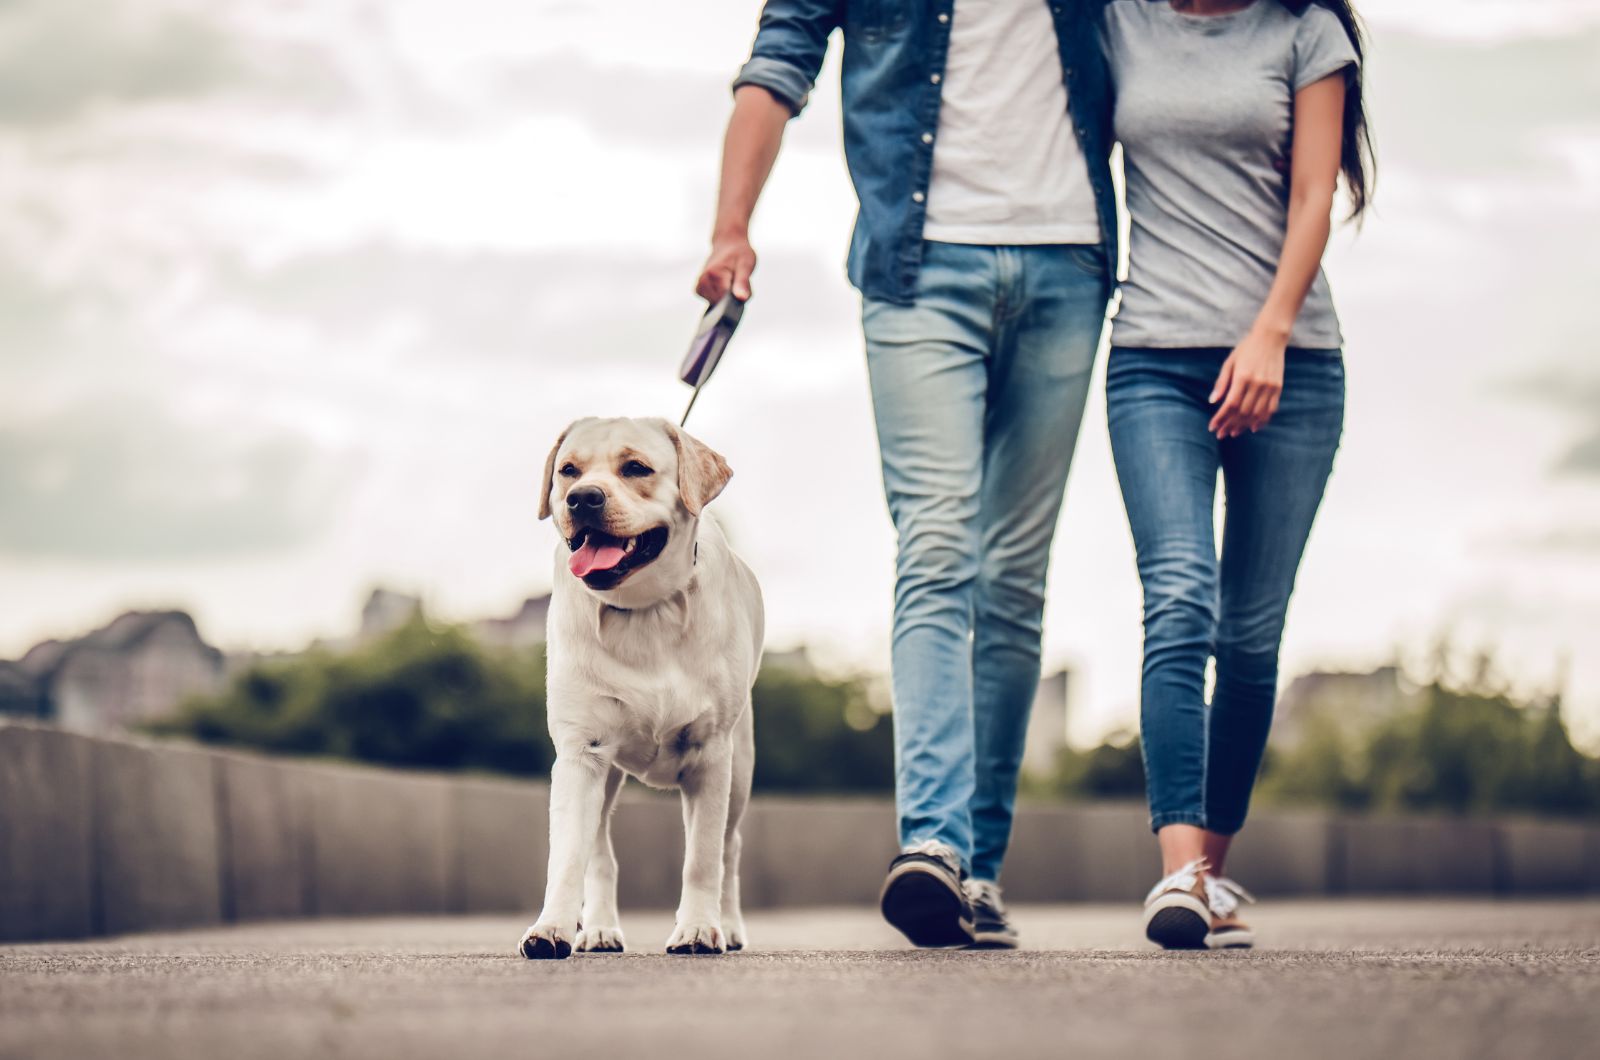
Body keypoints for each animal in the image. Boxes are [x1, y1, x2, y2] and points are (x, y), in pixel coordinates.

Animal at [515, 416, 758, 960]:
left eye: (636, 468)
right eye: (568, 470)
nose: (582, 498)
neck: (645, 612)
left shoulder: (712, 755)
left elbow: (702, 857)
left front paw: (697, 929)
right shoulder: (581, 754)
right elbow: (569, 857)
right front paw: (551, 928)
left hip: (741, 769)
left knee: (731, 851)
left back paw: (730, 926)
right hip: (605, 778)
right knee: (601, 855)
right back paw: (599, 929)